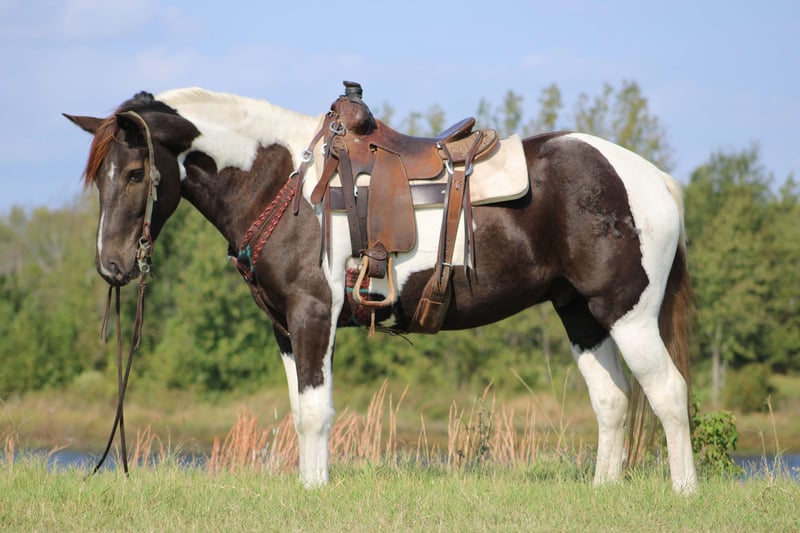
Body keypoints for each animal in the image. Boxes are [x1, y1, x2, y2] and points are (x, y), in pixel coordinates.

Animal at [65, 85, 697, 493]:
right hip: (582, 315)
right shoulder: (284, 329)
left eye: (135, 173)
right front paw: (310, 487)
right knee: (613, 401)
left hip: (628, 313)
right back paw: (603, 491)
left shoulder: (313, 316)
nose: (112, 266)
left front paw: (315, 494)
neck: (287, 186)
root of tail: (654, 179)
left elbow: (315, 413)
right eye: (99, 176)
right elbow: (300, 410)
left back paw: (684, 491)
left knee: (668, 393)